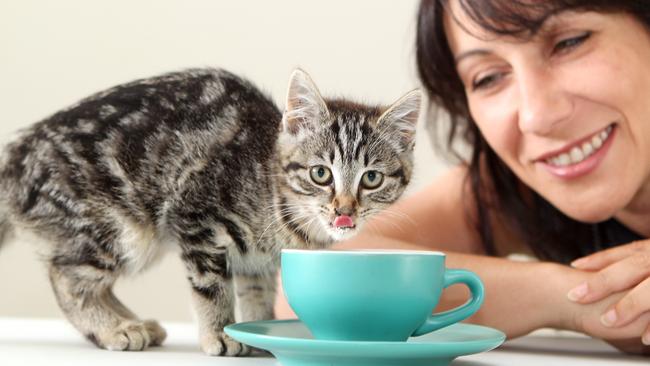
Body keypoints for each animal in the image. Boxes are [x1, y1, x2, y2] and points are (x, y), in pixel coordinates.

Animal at [0, 68, 420, 354]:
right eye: (320, 174)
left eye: (371, 178)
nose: (343, 211)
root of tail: (17, 159)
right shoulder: (195, 216)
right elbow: (211, 287)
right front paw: (220, 332)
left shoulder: (259, 262)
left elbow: (257, 292)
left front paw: (261, 331)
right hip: (122, 230)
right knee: (66, 275)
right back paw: (114, 328)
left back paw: (131, 322)